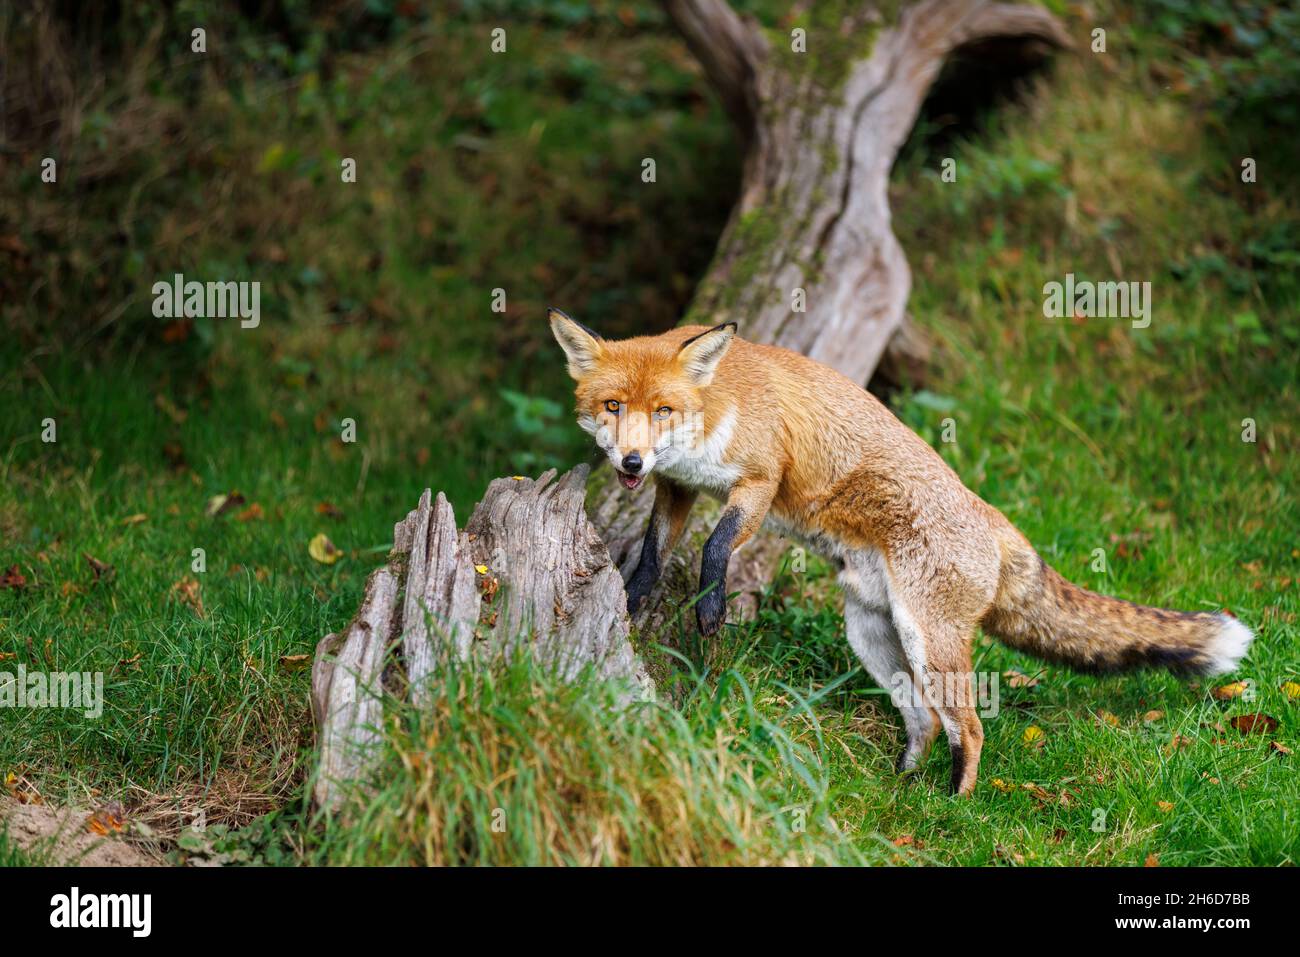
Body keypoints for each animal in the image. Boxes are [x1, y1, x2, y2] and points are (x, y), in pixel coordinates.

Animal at [546, 306, 1248, 790]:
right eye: (613, 406)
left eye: (662, 410)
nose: (630, 461)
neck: (718, 401)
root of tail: (996, 519)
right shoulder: (677, 487)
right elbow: (652, 553)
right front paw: (633, 597)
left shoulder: (761, 480)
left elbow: (717, 548)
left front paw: (711, 607)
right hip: (874, 635)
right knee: (925, 721)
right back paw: (903, 787)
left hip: (929, 641)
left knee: (970, 727)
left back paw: (955, 805)